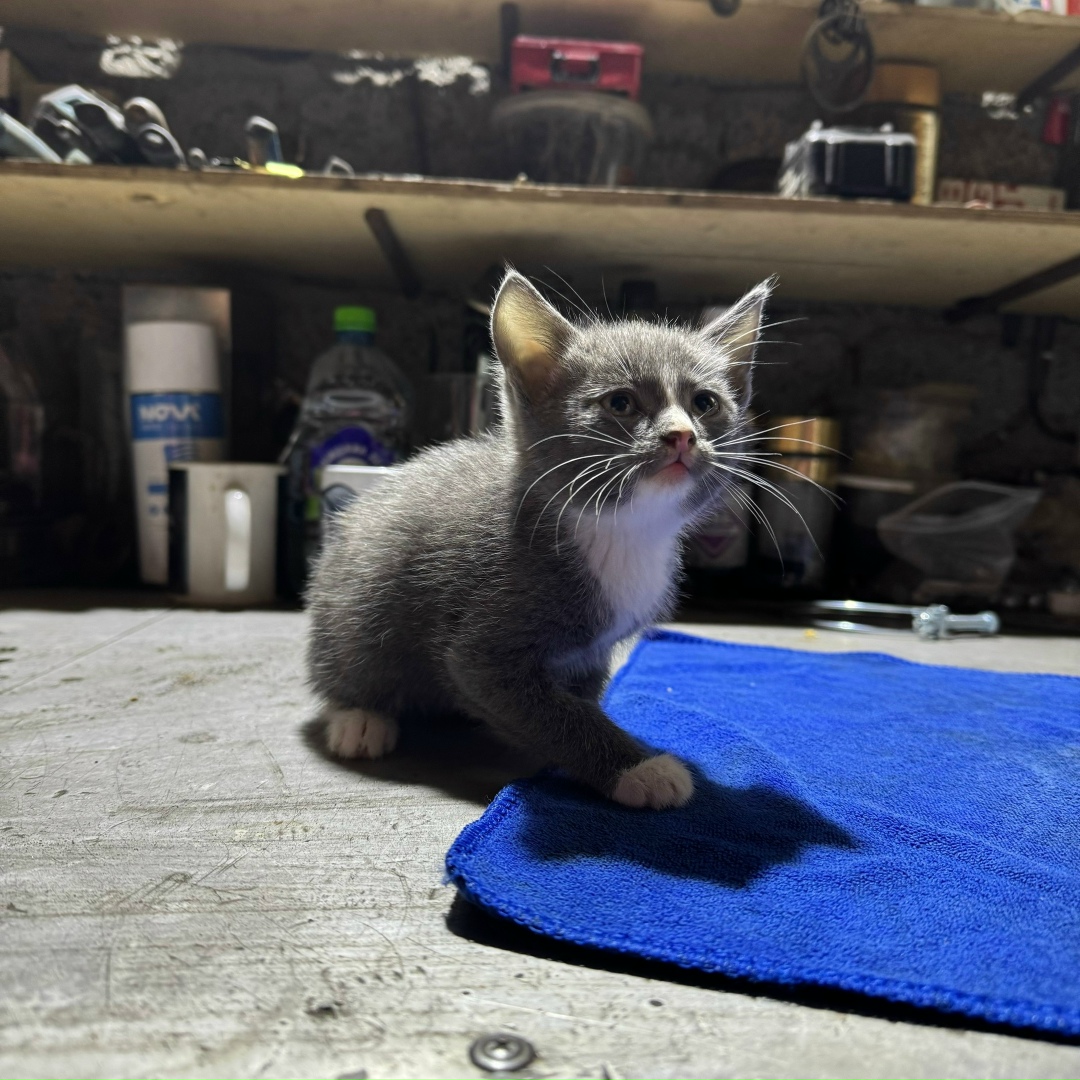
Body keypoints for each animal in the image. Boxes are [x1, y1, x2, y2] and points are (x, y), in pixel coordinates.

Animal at [306, 269, 771, 809]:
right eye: (621, 402)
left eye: (704, 403)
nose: (682, 435)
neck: (623, 531)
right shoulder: (484, 635)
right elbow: (549, 709)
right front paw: (639, 768)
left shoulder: (592, 653)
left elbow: (573, 699)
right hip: (353, 601)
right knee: (348, 662)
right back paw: (359, 719)